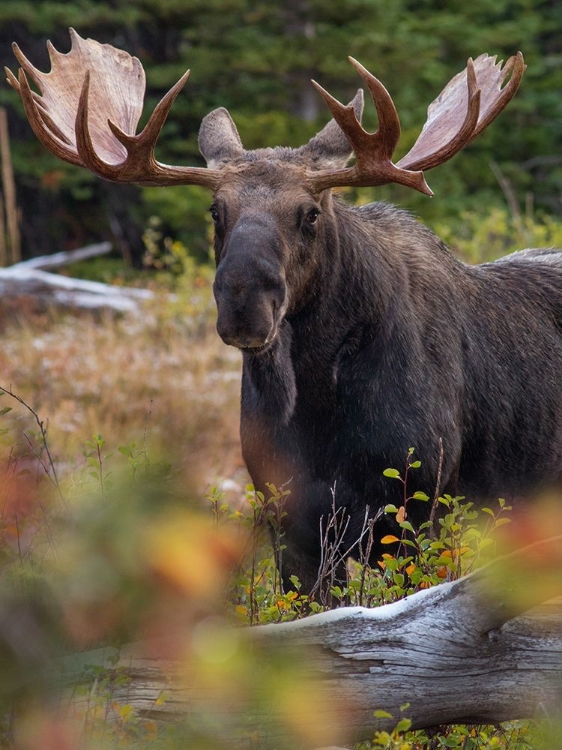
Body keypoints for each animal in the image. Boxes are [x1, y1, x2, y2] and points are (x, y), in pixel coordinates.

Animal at [6, 32, 556, 600]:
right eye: (216, 211)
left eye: (310, 212)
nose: (245, 305)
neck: (318, 411)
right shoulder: (288, 522)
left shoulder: (418, 512)